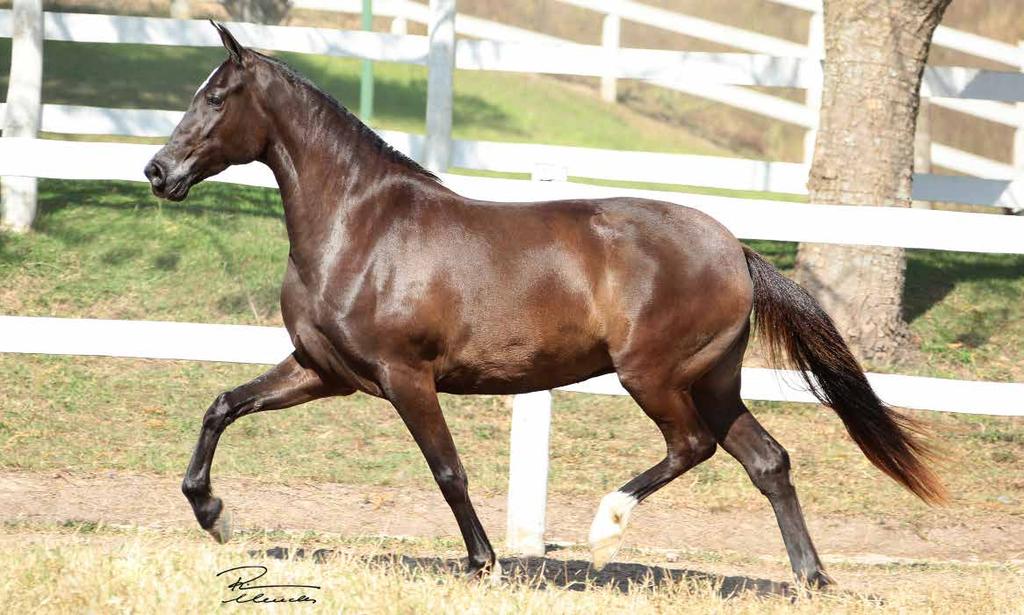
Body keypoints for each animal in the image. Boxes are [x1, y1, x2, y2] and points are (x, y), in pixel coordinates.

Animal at [146, 24, 942, 585]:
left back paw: (605, 530)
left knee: (692, 446)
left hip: (654, 375)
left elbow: (448, 470)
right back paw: (812, 576)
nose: (158, 171)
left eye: (215, 98)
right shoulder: (323, 370)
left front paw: (483, 562)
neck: (361, 226)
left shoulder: (407, 376)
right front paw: (211, 513)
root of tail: (734, 248)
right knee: (768, 460)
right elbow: (223, 405)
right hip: (714, 380)